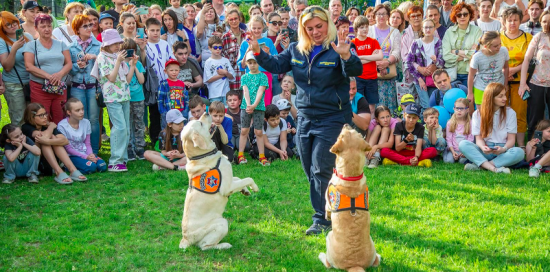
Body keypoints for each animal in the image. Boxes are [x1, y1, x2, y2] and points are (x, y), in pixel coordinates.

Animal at [180, 112, 260, 251]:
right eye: (200, 123)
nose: (206, 112)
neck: (203, 156)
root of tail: (185, 239)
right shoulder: (226, 188)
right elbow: (248, 178)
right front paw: (254, 187)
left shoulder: (229, 180)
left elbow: (238, 179)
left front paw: (245, 190)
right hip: (222, 223)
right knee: (205, 246)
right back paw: (224, 245)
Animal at [320, 124, 384, 270]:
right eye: (358, 133)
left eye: (341, 134)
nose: (346, 124)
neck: (351, 176)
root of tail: (355, 265)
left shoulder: (327, 198)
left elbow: (326, 208)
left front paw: (327, 216)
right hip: (372, 244)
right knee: (376, 261)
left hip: (329, 237)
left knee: (327, 264)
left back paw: (321, 255)